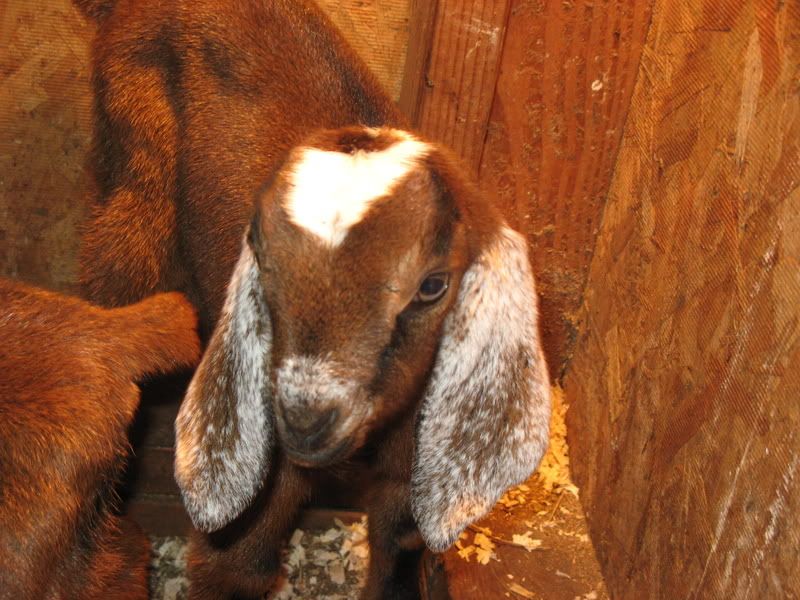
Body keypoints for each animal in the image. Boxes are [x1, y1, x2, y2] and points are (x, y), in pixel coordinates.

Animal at [75, 0, 551, 598]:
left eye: (433, 285)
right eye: (264, 257)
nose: (305, 417)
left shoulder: (406, 482)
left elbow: (396, 554)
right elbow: (236, 566)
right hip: (136, 172)